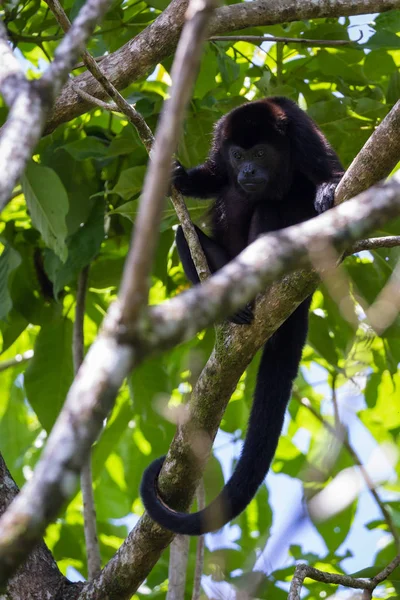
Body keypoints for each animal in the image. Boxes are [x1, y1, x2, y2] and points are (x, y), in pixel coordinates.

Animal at [141, 96, 344, 536]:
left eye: (261, 154)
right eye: (239, 155)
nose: (248, 171)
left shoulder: (302, 133)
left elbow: (330, 172)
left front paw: (326, 188)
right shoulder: (222, 137)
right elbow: (215, 177)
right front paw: (180, 176)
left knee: (271, 208)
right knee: (182, 235)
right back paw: (232, 304)